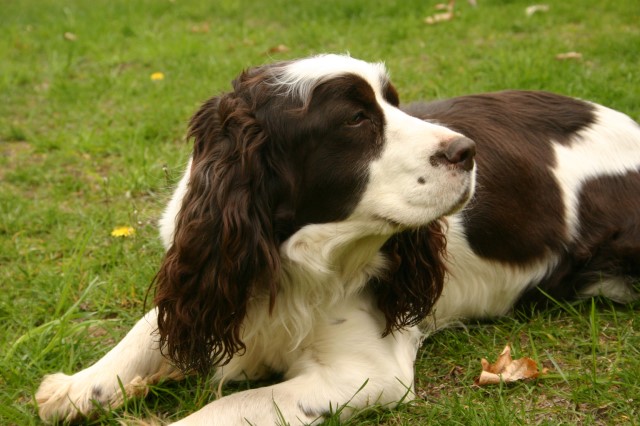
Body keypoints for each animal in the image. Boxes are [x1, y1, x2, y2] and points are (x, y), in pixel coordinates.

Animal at [36, 55, 640, 424]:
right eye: (354, 119)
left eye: (393, 102)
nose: (467, 152)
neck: (288, 256)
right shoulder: (211, 290)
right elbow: (144, 334)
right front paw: (76, 387)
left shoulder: (367, 372)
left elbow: (230, 407)